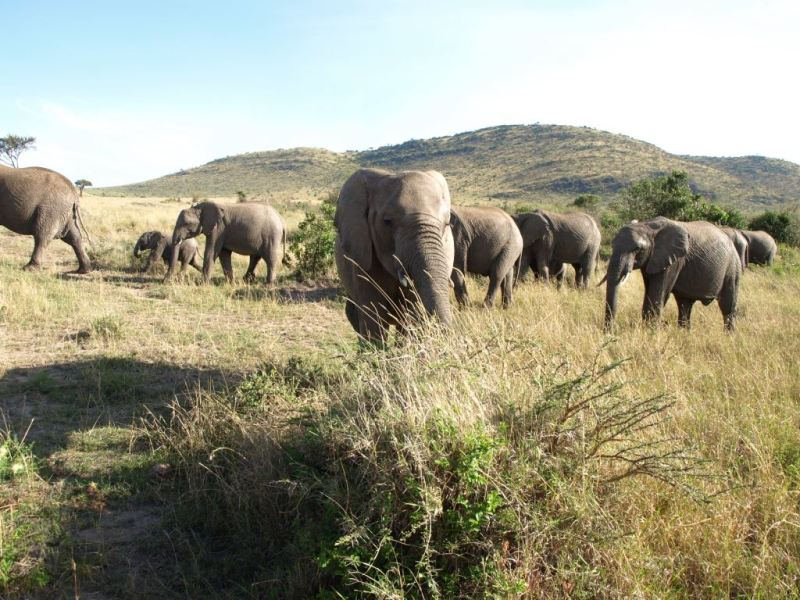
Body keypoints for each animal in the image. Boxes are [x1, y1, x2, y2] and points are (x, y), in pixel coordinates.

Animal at [608, 217, 744, 330]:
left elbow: (657, 295)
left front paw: (651, 332)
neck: (648, 226)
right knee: (685, 305)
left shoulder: (674, 261)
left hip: (732, 267)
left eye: (637, 249)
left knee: (727, 306)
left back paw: (729, 335)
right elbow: (649, 294)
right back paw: (684, 333)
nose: (610, 332)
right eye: (612, 245)